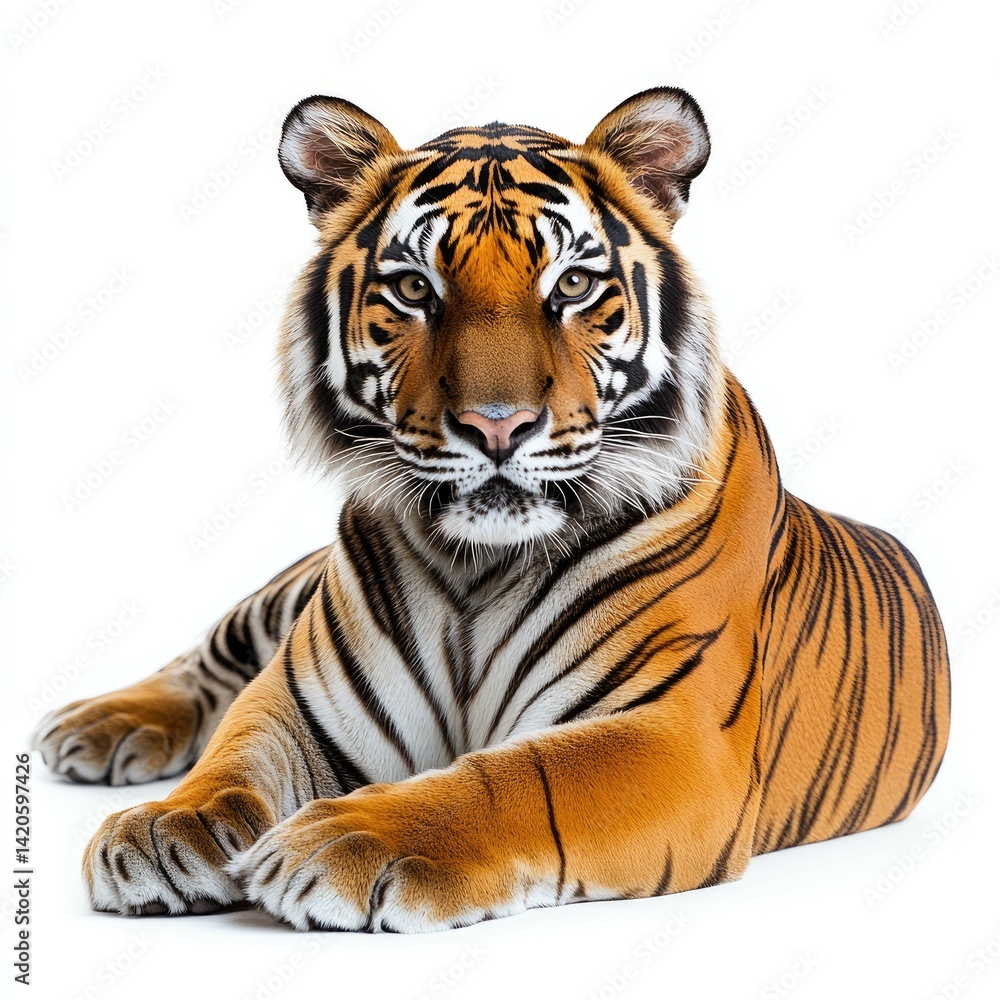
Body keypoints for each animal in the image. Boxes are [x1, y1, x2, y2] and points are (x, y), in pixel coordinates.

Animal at [30, 87, 950, 933]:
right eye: (413, 289)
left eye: (573, 285)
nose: (497, 426)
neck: (477, 567)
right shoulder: (301, 695)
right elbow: (240, 746)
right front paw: (168, 824)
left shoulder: (676, 735)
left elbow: (516, 778)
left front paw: (343, 840)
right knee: (210, 658)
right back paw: (97, 728)